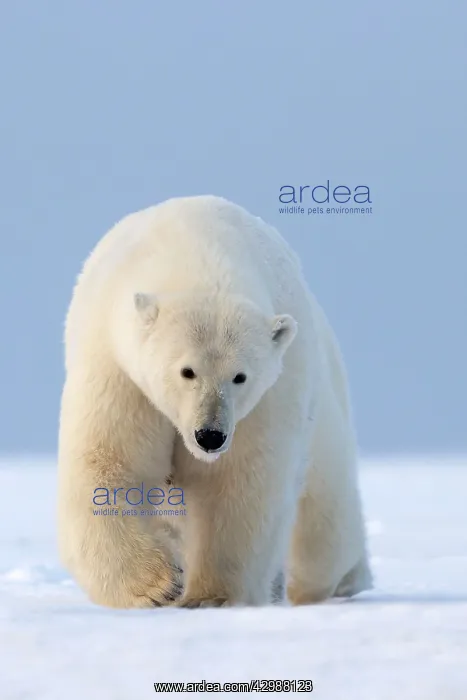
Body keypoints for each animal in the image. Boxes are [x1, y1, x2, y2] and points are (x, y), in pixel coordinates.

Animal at [57, 194, 372, 609]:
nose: (210, 435)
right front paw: (158, 584)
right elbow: (110, 462)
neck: (200, 249)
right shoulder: (120, 371)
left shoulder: (269, 396)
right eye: (187, 371)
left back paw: (339, 582)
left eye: (240, 376)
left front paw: (211, 597)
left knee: (323, 522)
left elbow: (240, 483)